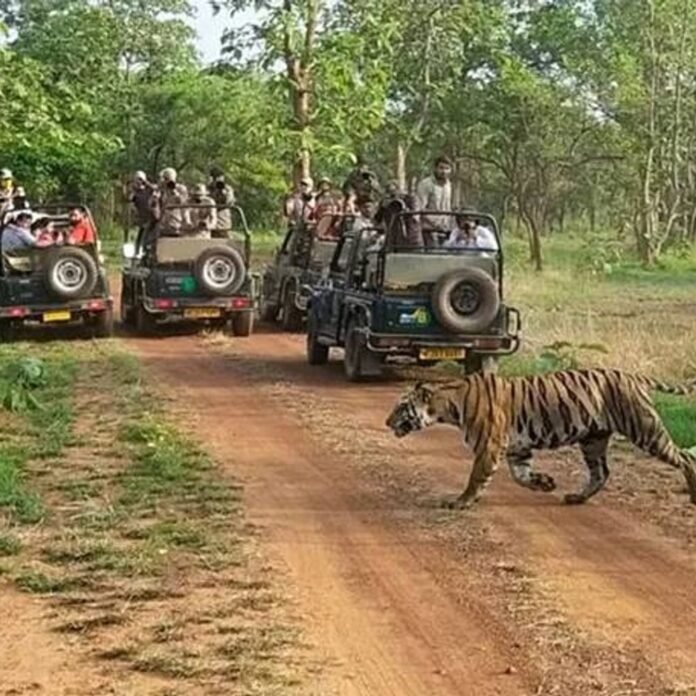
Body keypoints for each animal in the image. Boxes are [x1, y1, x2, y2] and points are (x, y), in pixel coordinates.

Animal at [386, 370, 696, 512]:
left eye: (401, 407)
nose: (386, 422)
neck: (448, 405)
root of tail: (633, 375)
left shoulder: (489, 447)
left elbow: (476, 478)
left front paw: (460, 502)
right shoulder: (516, 448)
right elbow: (520, 476)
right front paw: (545, 483)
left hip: (645, 430)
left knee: (685, 457)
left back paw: (693, 492)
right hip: (593, 440)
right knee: (601, 472)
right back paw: (576, 497)